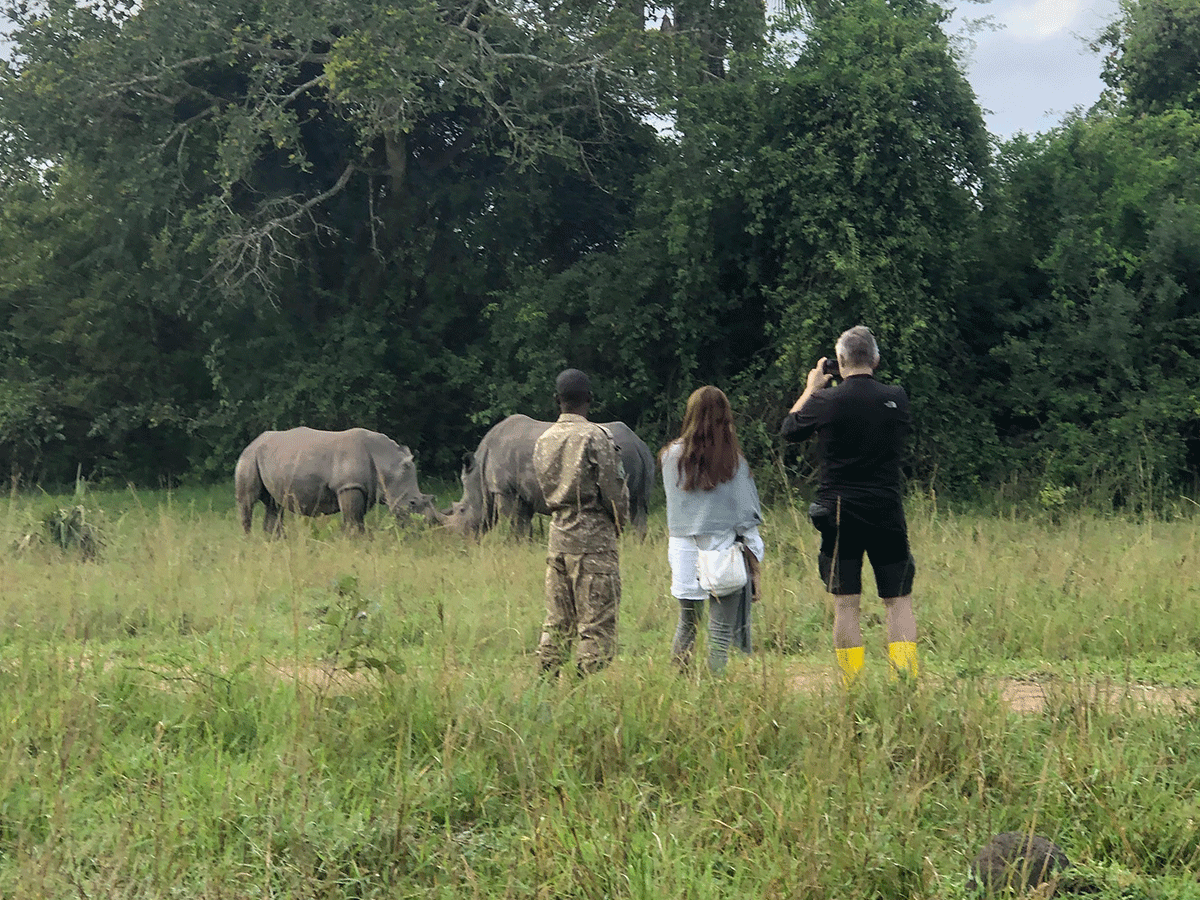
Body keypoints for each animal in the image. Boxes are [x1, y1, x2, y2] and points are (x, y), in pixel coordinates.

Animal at [231, 424, 444, 532]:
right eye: (413, 503)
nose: (428, 526)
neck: (387, 462)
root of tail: (252, 442)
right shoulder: (349, 486)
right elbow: (353, 521)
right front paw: (356, 545)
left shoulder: (364, 489)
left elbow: (358, 521)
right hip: (249, 458)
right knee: (248, 502)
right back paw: (250, 542)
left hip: (270, 458)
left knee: (273, 504)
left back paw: (275, 545)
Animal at [444, 417, 657, 542]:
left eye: (462, 510)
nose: (462, 540)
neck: (479, 470)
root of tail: (638, 443)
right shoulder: (524, 492)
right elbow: (523, 525)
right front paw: (525, 546)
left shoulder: (505, 490)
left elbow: (512, 522)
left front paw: (513, 545)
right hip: (641, 456)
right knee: (638, 506)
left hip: (615, 457)